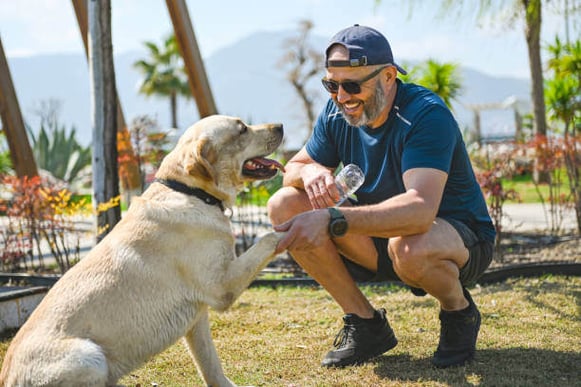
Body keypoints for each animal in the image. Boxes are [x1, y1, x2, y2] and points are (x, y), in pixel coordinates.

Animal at [0, 115, 286, 387]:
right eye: (242, 129)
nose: (281, 126)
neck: (191, 192)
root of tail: (7, 378)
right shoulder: (221, 287)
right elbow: (269, 237)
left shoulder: (197, 319)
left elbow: (210, 365)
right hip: (90, 356)